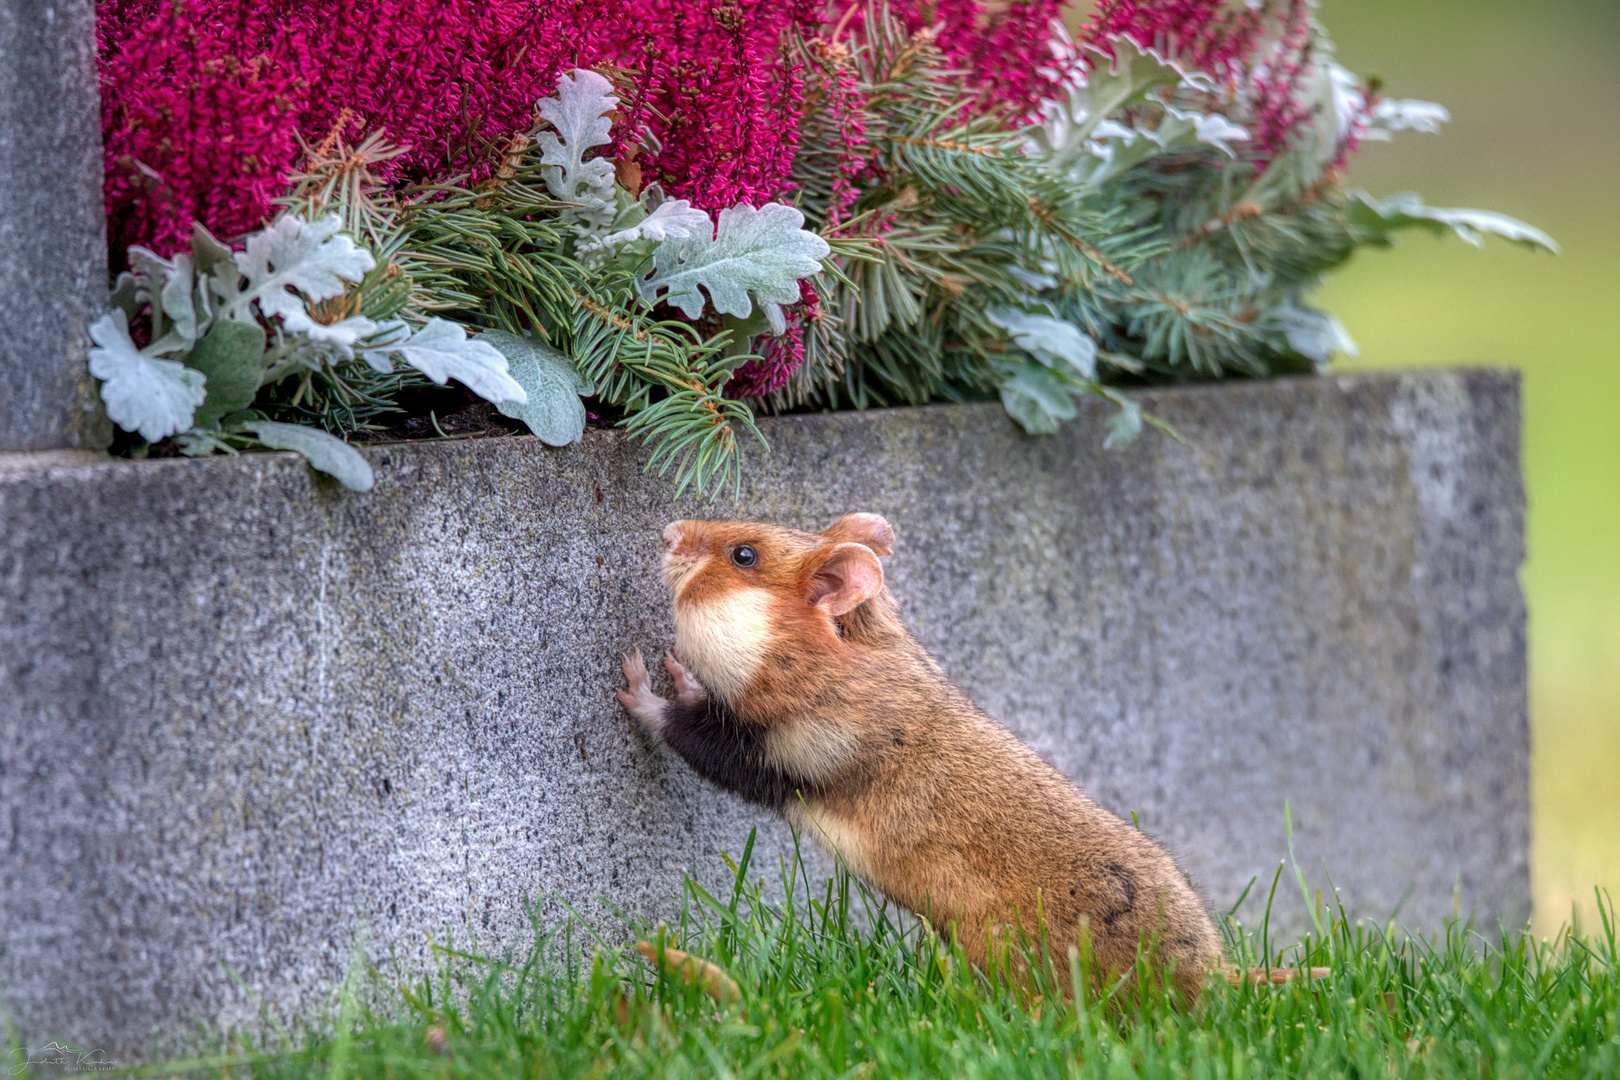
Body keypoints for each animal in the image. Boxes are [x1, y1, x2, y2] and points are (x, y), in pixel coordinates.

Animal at [612, 511, 1218, 1003]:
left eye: (744, 555)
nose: (667, 530)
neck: (830, 662)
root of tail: (1215, 984)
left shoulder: (786, 756)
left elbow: (685, 731)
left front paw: (638, 679)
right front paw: (679, 674)